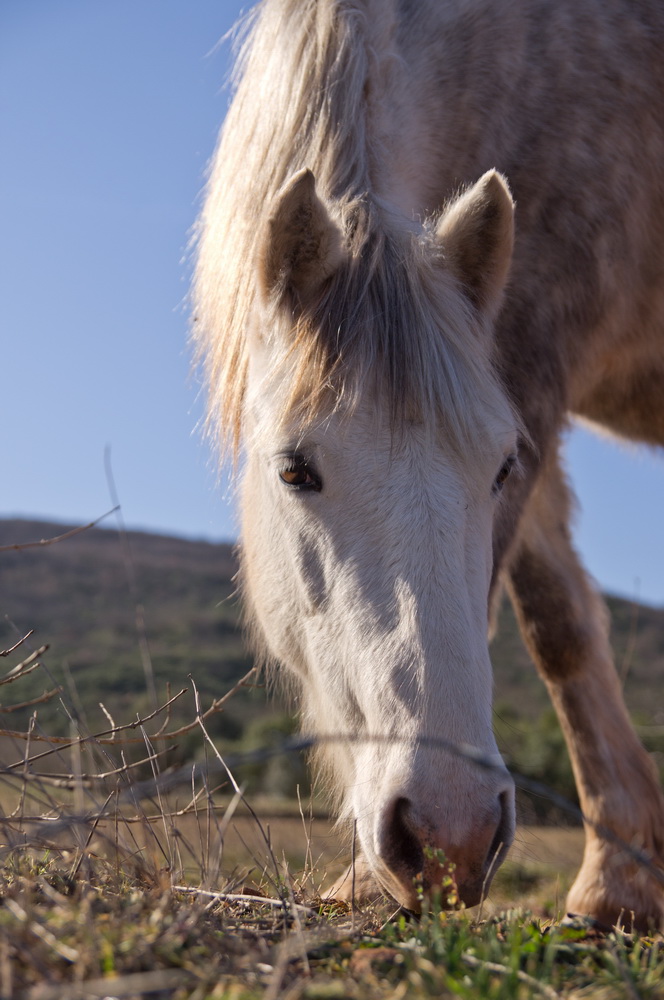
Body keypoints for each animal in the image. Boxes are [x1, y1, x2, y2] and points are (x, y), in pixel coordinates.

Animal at [192, 0, 664, 928]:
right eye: (294, 469)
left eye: (498, 469)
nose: (451, 834)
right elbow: (560, 622)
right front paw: (622, 879)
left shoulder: (533, 359)